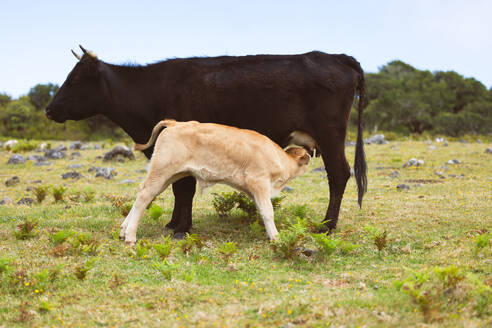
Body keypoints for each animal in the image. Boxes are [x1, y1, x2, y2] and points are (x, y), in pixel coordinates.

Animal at [119, 120, 310, 243]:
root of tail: (176, 123)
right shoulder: (259, 181)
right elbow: (268, 211)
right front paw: (276, 238)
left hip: (170, 174)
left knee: (143, 193)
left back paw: (123, 231)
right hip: (162, 169)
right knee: (145, 195)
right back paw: (130, 237)